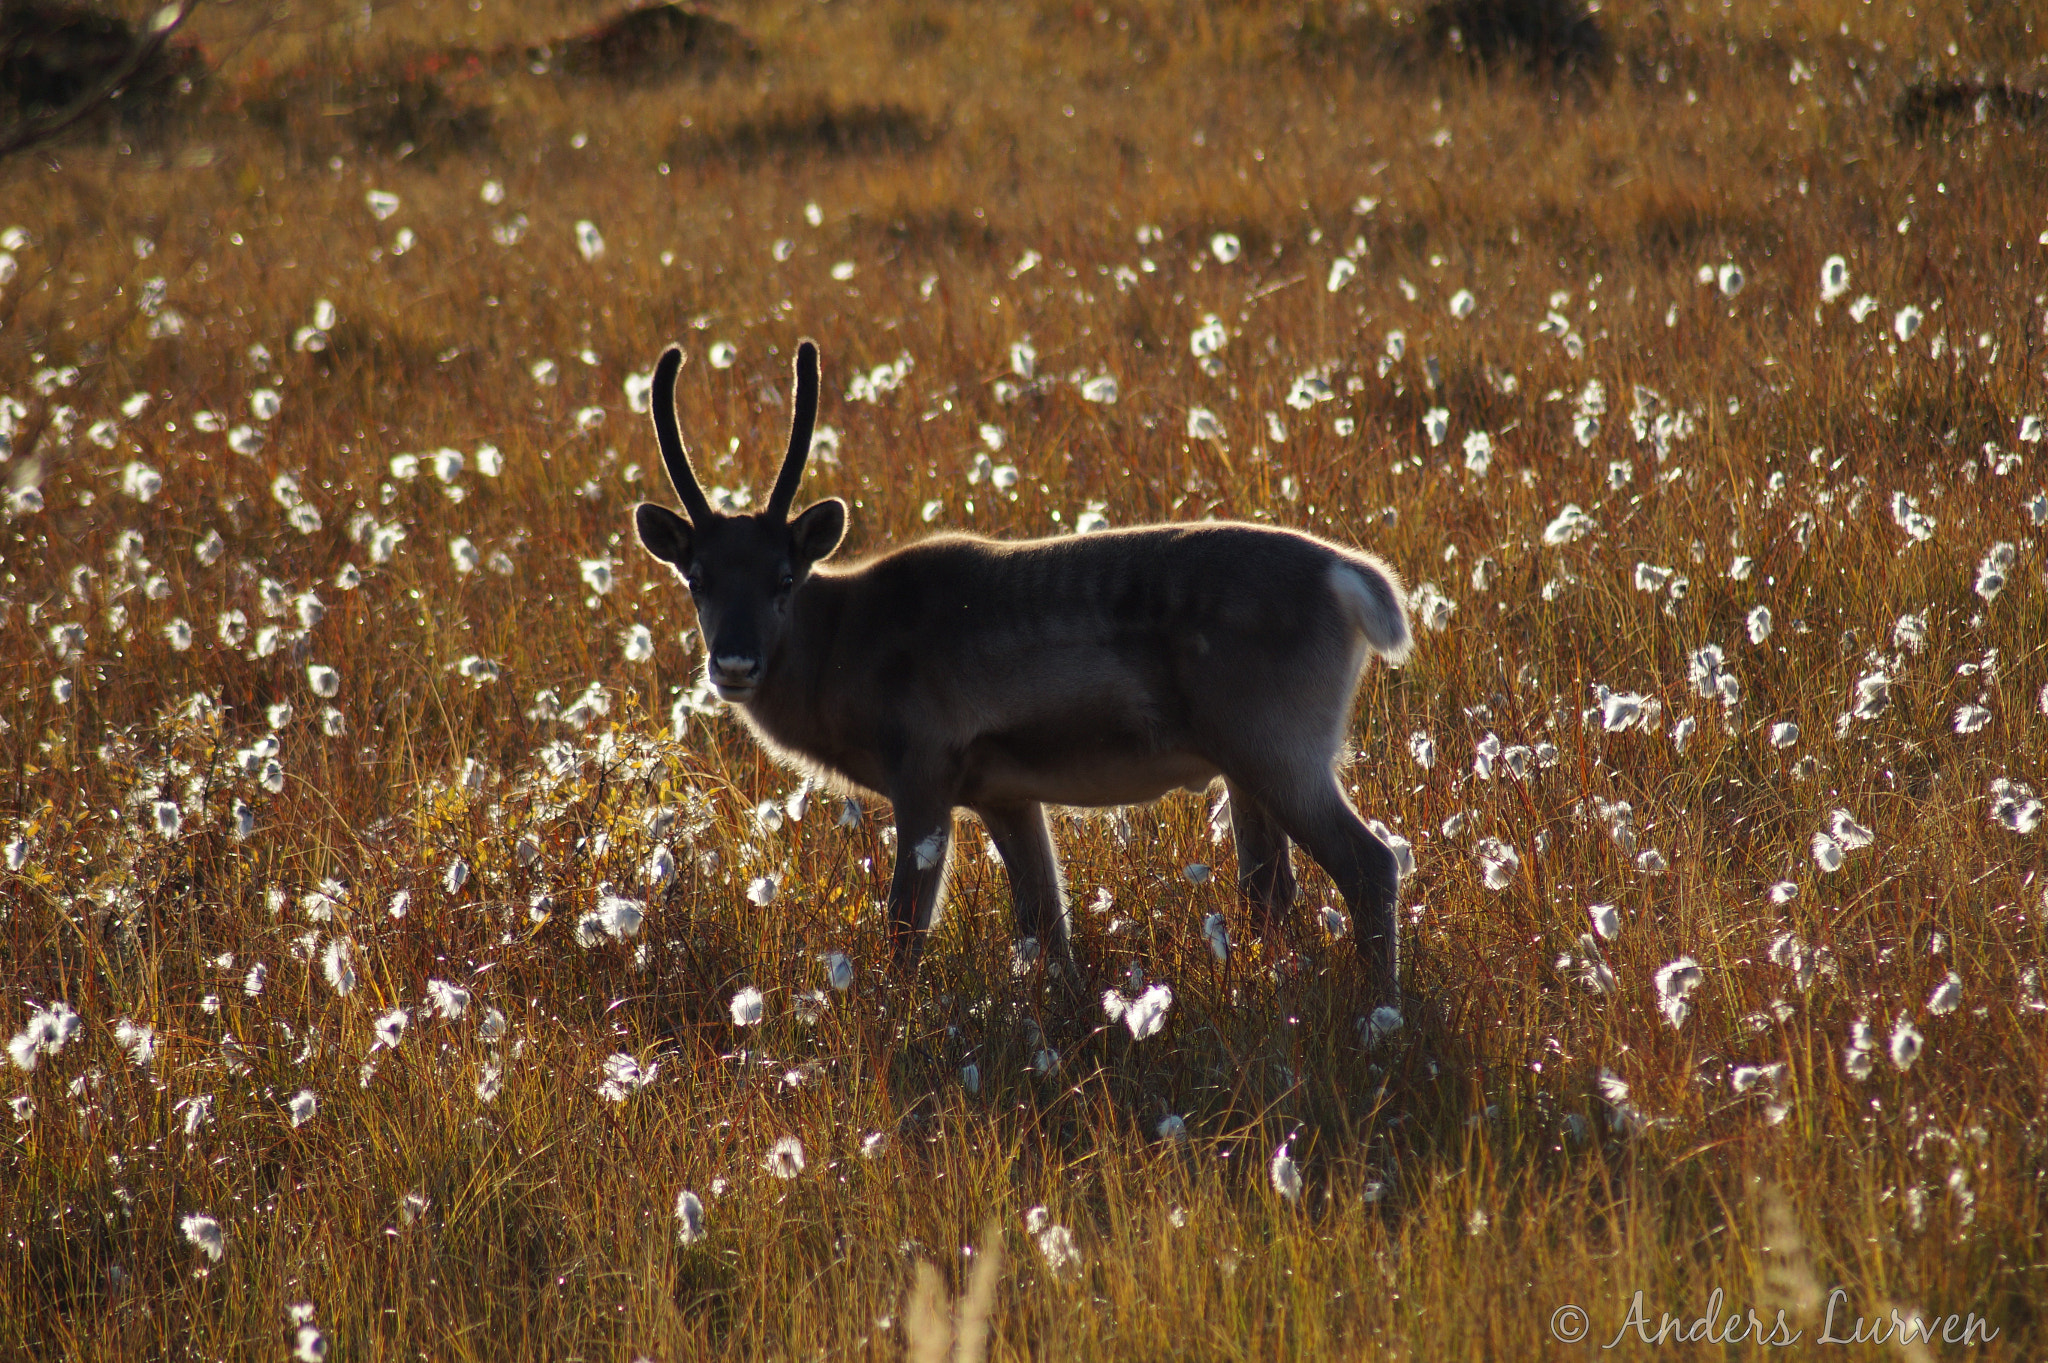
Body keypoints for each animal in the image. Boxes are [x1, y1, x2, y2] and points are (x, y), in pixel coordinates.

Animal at [630, 337, 1417, 998]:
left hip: (1280, 750)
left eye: (784, 577)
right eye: (696, 578)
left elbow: (905, 929)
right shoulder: (1004, 793)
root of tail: (1350, 575)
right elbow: (1047, 926)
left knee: (1369, 865)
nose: (735, 661)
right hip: (1246, 769)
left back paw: (1379, 1012)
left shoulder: (923, 771)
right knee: (1270, 893)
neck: (846, 638)